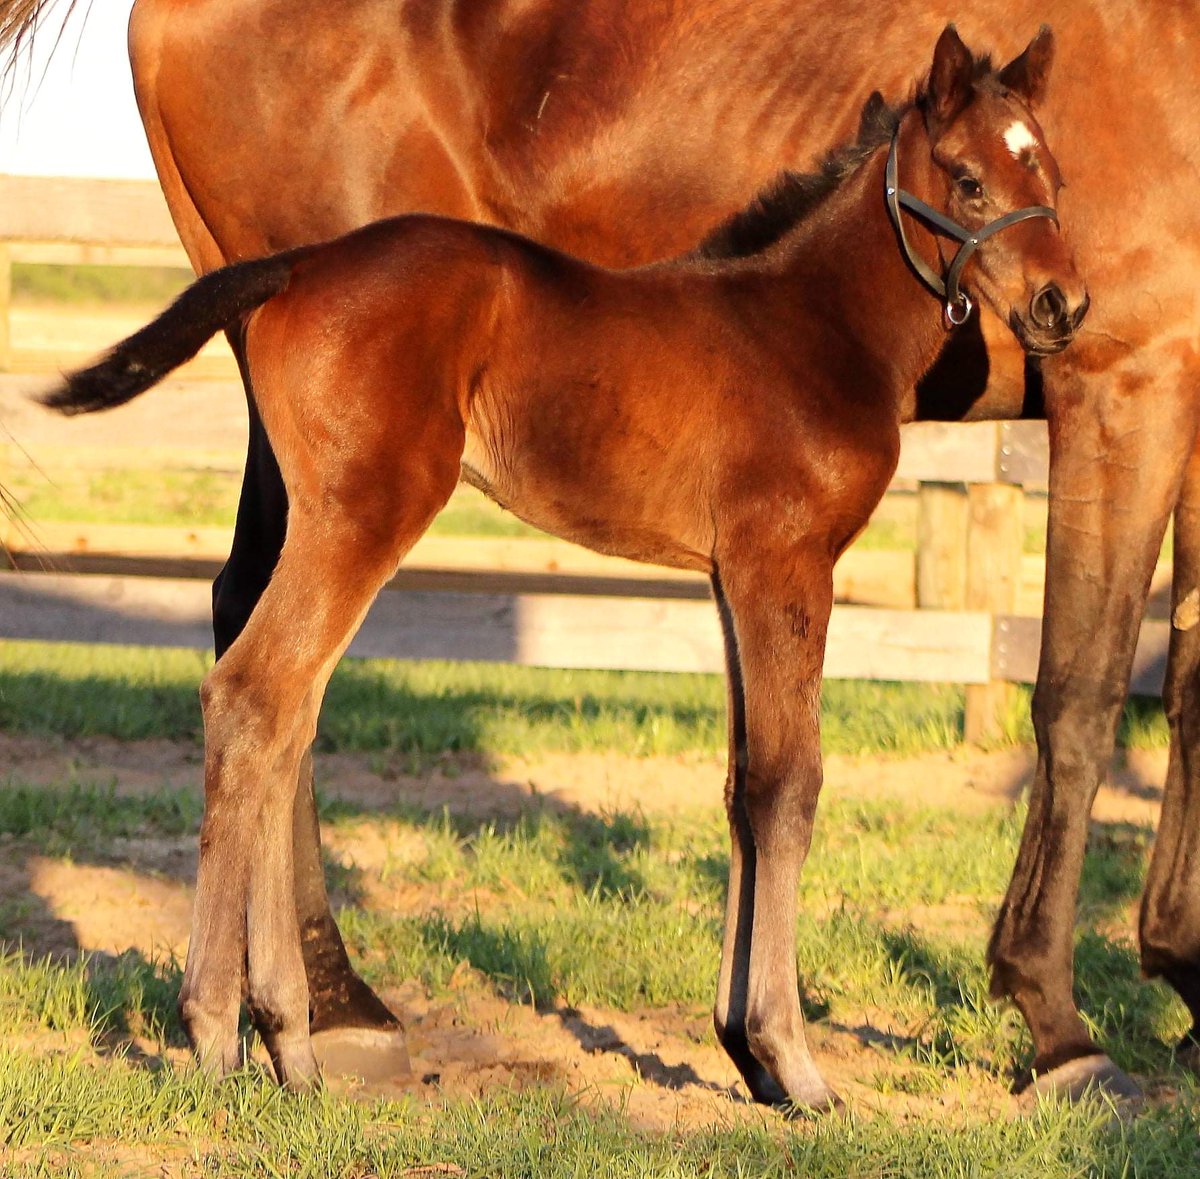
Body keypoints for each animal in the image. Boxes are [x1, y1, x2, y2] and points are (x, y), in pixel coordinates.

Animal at [3, 0, 1196, 1103]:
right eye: (967, 178)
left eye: (1054, 171)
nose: (1063, 305)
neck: (805, 325)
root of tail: (297, 269)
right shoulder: (787, 562)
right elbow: (793, 783)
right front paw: (798, 1060)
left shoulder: (729, 575)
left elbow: (742, 782)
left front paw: (747, 1054)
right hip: (365, 515)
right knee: (256, 697)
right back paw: (224, 1033)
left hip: (327, 515)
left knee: (280, 710)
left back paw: (291, 1040)